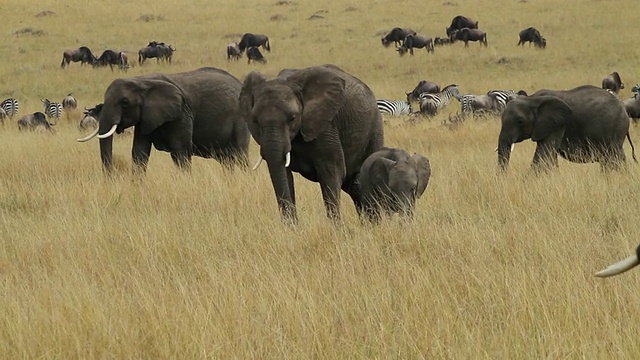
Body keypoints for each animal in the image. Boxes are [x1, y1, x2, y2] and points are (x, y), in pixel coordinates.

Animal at [77, 68, 250, 174]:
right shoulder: (146, 116)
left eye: (125, 102)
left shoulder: (181, 114)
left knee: (241, 155)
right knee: (227, 161)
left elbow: (180, 151)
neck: (142, 81)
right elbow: (139, 152)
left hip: (240, 119)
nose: (111, 176)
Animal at [239, 64, 380, 222]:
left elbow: (331, 171)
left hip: (374, 129)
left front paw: (336, 227)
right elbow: (284, 175)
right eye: (255, 120)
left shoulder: (326, 126)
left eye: (293, 118)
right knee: (355, 186)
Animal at [498, 86, 632, 173]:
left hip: (617, 126)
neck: (531, 99)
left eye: (520, 121)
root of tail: (623, 107)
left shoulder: (558, 123)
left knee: (612, 156)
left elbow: (544, 153)